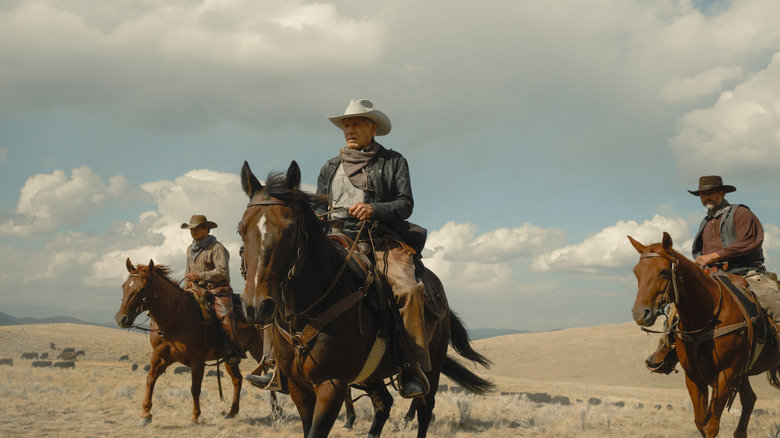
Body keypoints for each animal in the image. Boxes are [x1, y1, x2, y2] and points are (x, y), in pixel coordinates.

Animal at [113, 258, 278, 426]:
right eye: (124, 286)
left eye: (142, 289)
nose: (121, 318)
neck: (176, 317)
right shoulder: (160, 356)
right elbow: (150, 379)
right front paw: (145, 414)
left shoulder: (197, 360)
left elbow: (195, 388)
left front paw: (195, 416)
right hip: (231, 357)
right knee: (237, 379)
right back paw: (232, 412)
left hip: (259, 351)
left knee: (267, 374)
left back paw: (275, 411)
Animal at [238, 161, 494, 438]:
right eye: (241, 230)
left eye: (290, 230)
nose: (257, 306)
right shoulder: (299, 387)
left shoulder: (331, 385)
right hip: (371, 375)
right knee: (384, 404)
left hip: (431, 368)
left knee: (424, 411)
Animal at [628, 231, 780, 436]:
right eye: (636, 272)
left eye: (664, 271)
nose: (640, 314)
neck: (706, 316)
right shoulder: (694, 377)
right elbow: (701, 422)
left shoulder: (725, 375)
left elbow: (711, 426)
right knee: (749, 399)